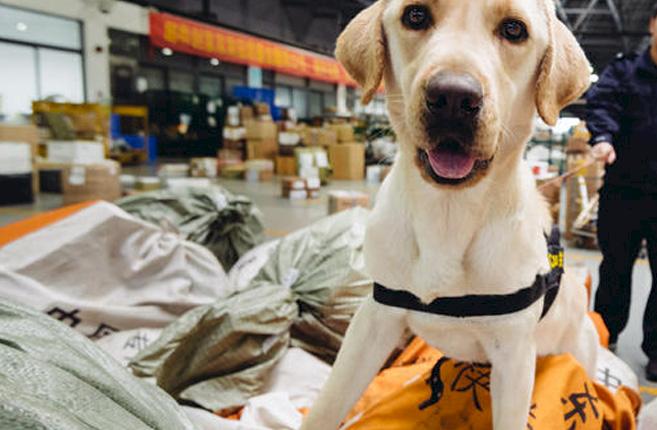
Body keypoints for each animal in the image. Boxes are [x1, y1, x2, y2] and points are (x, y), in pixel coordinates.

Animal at [302, 0, 600, 430]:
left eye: (514, 29)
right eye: (415, 15)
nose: (454, 98)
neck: (447, 214)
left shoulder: (513, 357)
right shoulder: (374, 319)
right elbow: (327, 405)